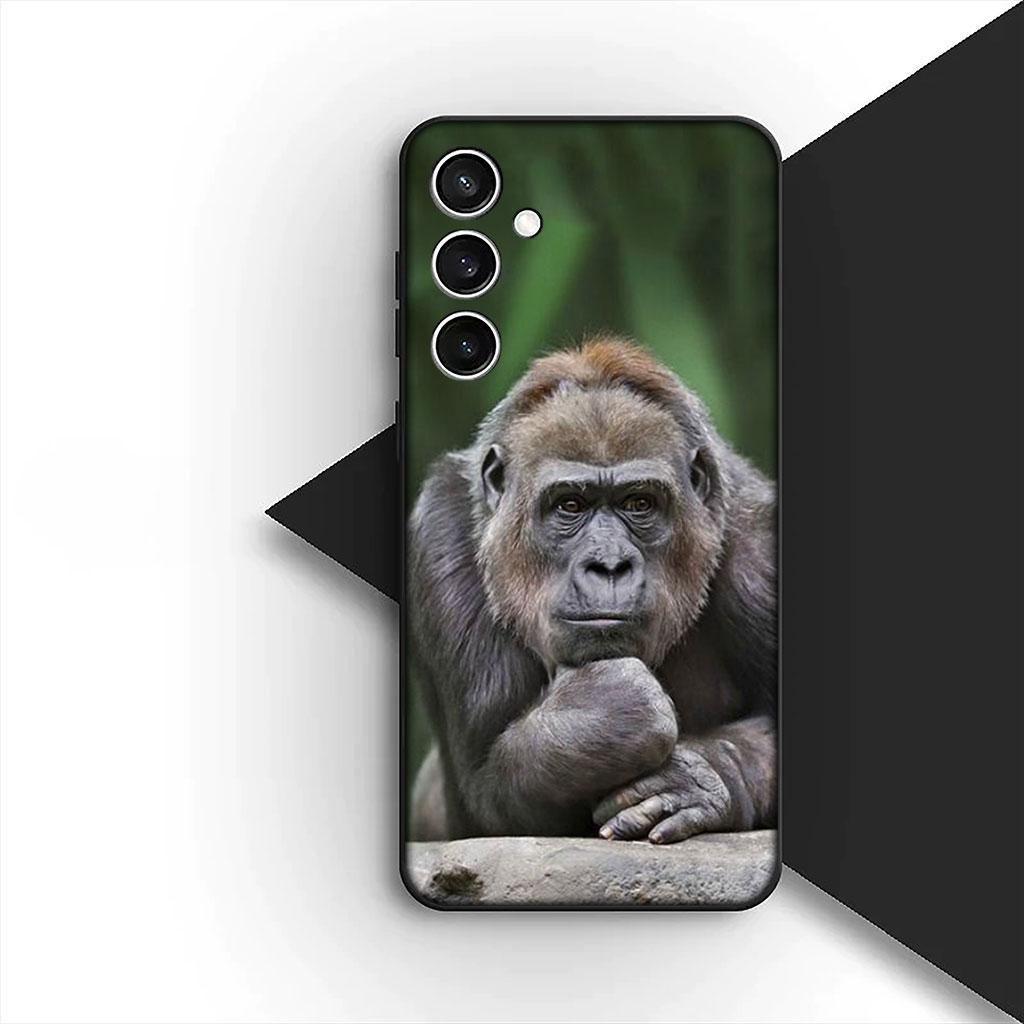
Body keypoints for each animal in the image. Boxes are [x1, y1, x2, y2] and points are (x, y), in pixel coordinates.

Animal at [408, 336, 776, 845]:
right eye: (570, 505)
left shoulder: (762, 548)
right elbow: (486, 801)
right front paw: (603, 712)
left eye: (639, 503)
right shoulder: (438, 527)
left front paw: (705, 775)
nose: (609, 565)